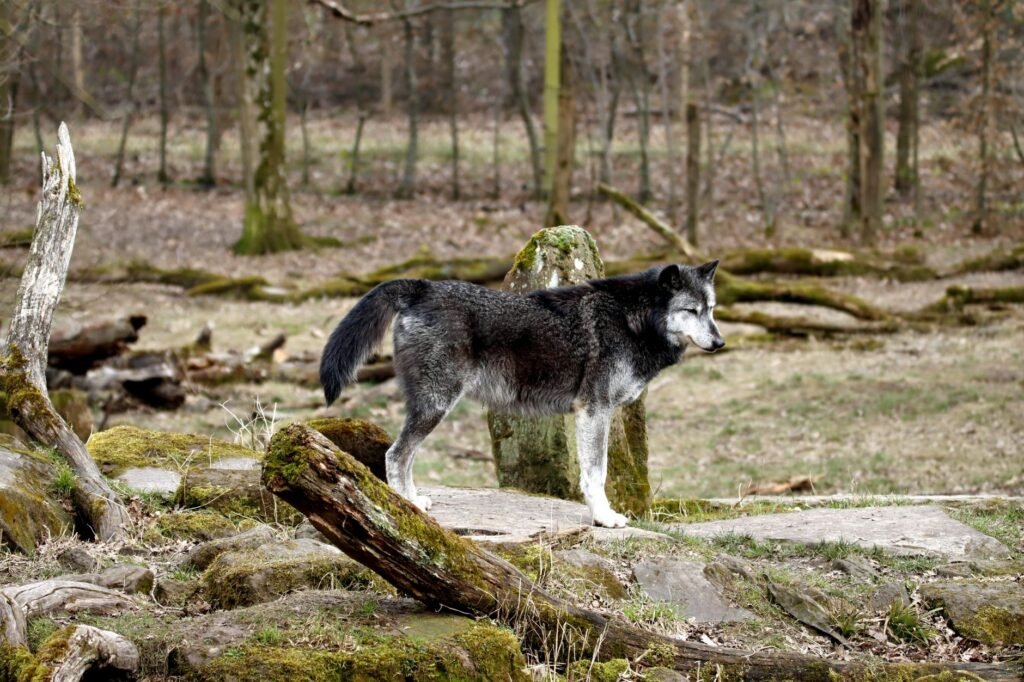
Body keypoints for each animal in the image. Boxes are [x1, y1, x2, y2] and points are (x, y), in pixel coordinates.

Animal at [320, 260, 724, 528]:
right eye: (691, 310)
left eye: (711, 310)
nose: (720, 343)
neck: (632, 321)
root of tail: (422, 286)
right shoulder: (595, 411)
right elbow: (596, 474)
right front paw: (605, 518)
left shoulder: (595, 413)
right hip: (436, 405)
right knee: (394, 455)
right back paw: (405, 509)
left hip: (430, 408)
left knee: (404, 457)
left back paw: (413, 501)